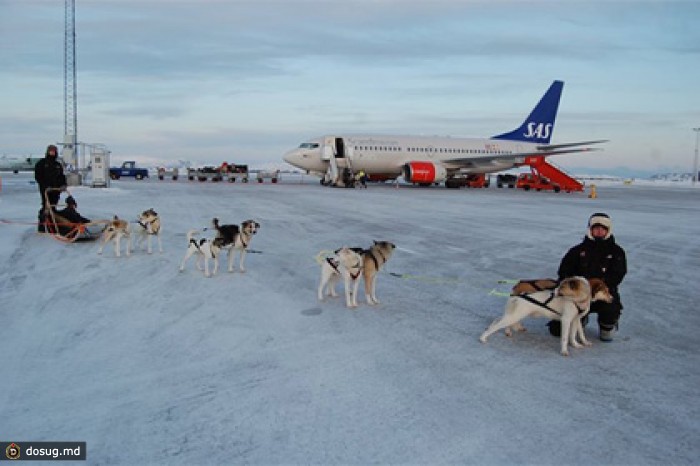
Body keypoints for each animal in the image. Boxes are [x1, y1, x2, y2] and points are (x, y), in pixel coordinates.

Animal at [482, 276, 612, 356]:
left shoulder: (576, 320)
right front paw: (564, 351)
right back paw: (483, 337)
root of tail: (519, 295)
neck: (576, 300)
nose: (612, 298)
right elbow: (565, 337)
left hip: (513, 315)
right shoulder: (566, 320)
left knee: (497, 320)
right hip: (515, 316)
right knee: (497, 325)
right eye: (605, 290)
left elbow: (577, 334)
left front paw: (578, 344)